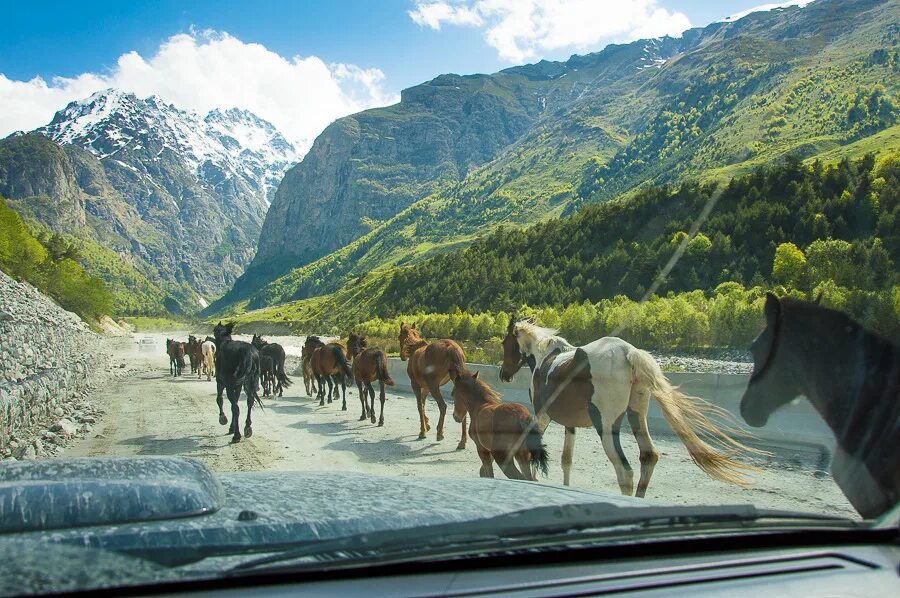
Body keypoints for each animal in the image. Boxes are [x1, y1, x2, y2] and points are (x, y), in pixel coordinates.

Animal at [500, 318, 760, 496]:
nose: (503, 374)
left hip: (606, 426)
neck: (545, 358)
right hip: (637, 415)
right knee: (648, 456)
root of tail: (628, 352)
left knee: (625, 471)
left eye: (504, 342)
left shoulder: (543, 416)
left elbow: (534, 449)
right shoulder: (569, 424)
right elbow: (567, 460)